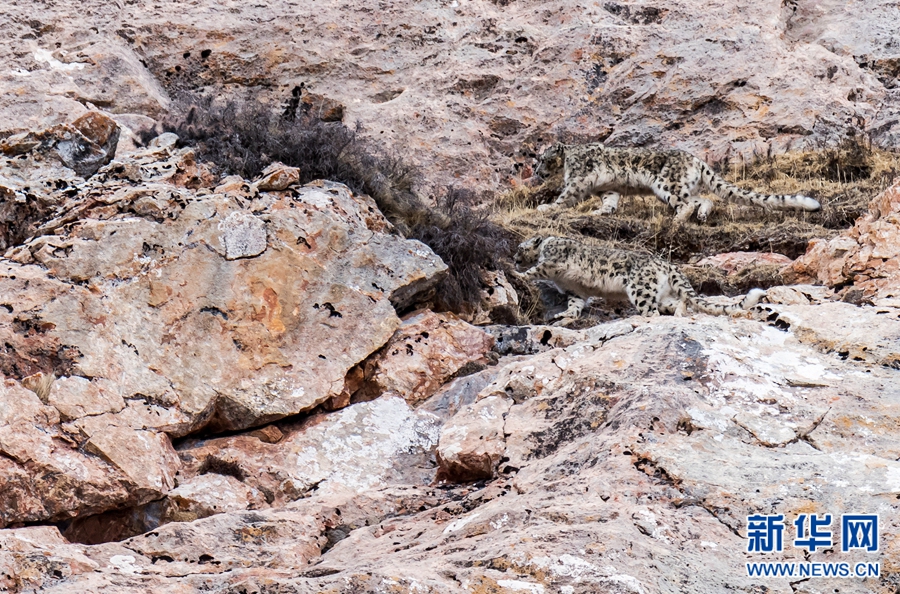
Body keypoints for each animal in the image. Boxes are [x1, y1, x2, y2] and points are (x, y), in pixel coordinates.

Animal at [512, 235, 768, 322]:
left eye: (520, 248)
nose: (514, 258)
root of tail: (667, 263)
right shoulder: (575, 290)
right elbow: (575, 305)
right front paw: (565, 315)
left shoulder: (552, 262)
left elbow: (535, 270)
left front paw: (518, 274)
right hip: (662, 293)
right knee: (677, 302)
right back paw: (679, 313)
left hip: (640, 289)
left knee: (651, 310)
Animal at [536, 142, 824, 223]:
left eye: (542, 158)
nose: (537, 171)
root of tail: (696, 160)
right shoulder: (608, 188)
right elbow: (609, 201)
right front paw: (601, 211)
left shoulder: (577, 179)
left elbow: (566, 196)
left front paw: (547, 207)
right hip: (682, 186)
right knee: (703, 199)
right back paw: (701, 215)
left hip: (667, 185)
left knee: (688, 202)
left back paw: (677, 219)